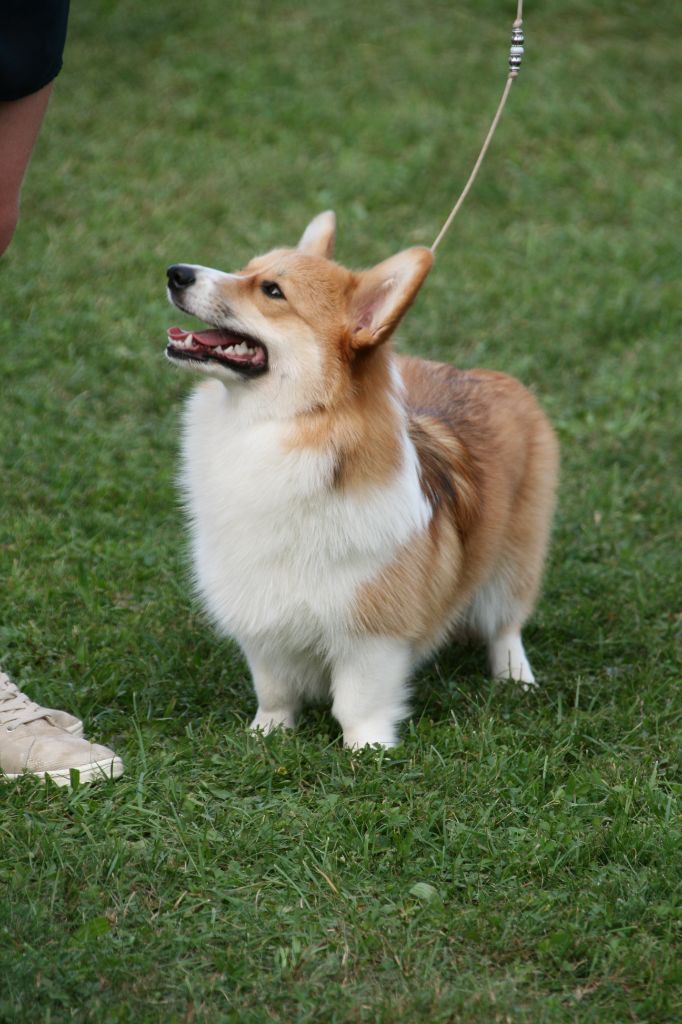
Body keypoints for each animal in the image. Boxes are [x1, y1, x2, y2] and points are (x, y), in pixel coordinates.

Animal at [164, 214, 557, 745]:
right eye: (246, 268)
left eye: (272, 290)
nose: (175, 272)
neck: (272, 430)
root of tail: (486, 376)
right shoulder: (262, 617)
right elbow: (274, 688)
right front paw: (266, 735)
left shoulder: (374, 632)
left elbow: (357, 701)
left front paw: (368, 750)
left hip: (515, 554)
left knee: (505, 624)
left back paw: (516, 678)